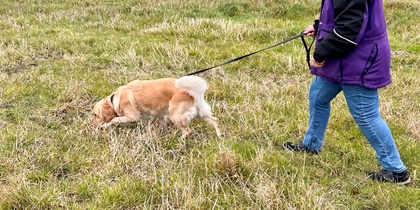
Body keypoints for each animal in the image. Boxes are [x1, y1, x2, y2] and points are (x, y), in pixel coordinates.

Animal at [92, 76, 223, 139]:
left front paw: (105, 125)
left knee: (187, 131)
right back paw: (219, 135)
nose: (93, 124)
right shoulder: (159, 116)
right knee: (215, 120)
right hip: (200, 113)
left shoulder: (132, 116)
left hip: (176, 115)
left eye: (95, 115)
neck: (114, 99)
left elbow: (114, 120)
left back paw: (179, 140)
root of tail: (192, 93)